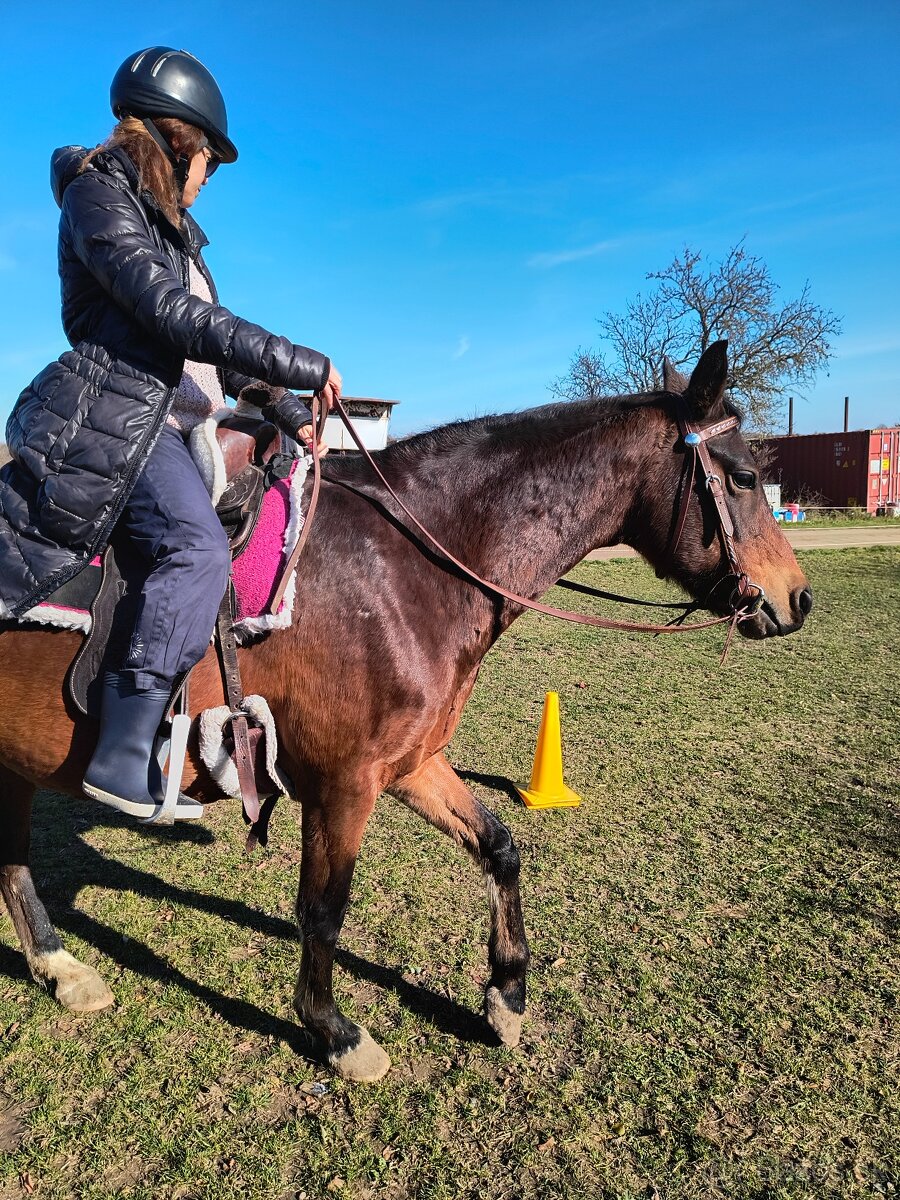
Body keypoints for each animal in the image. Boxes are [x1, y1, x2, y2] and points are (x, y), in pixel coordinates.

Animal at [0, 342, 811, 1082]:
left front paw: (505, 996)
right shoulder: (344, 783)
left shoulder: (411, 763)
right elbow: (323, 909)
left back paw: (59, 969)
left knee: (12, 862)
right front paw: (333, 1032)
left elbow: (499, 845)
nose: (797, 599)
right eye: (743, 476)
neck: (406, 566)